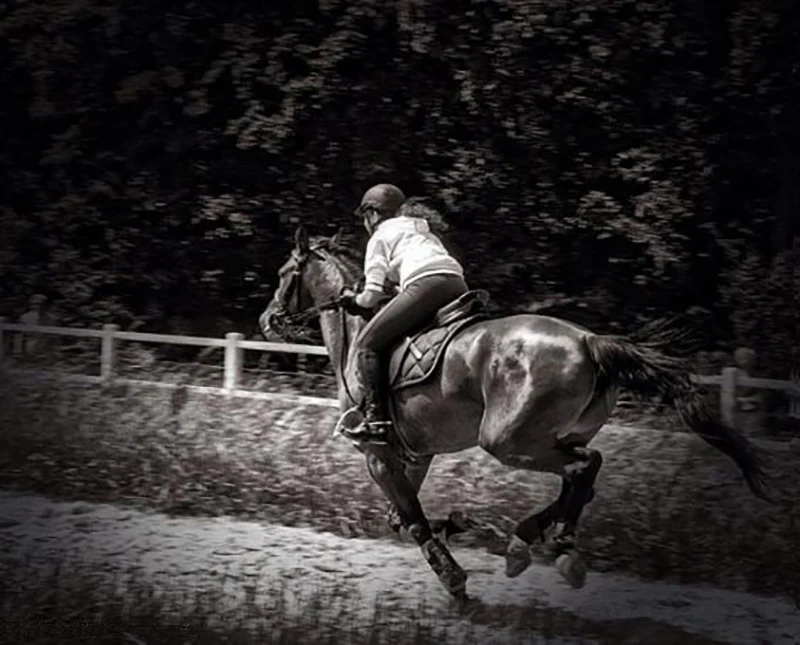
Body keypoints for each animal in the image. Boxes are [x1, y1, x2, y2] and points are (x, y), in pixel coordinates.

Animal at [258, 225, 772, 600]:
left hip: (508, 440)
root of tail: (589, 340)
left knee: (582, 469)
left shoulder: (377, 454)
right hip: (553, 435)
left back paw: (554, 545)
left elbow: (413, 521)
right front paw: (459, 524)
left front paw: (454, 579)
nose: (266, 321)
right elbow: (401, 519)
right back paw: (530, 541)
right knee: (584, 475)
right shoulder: (415, 454)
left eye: (284, 273)